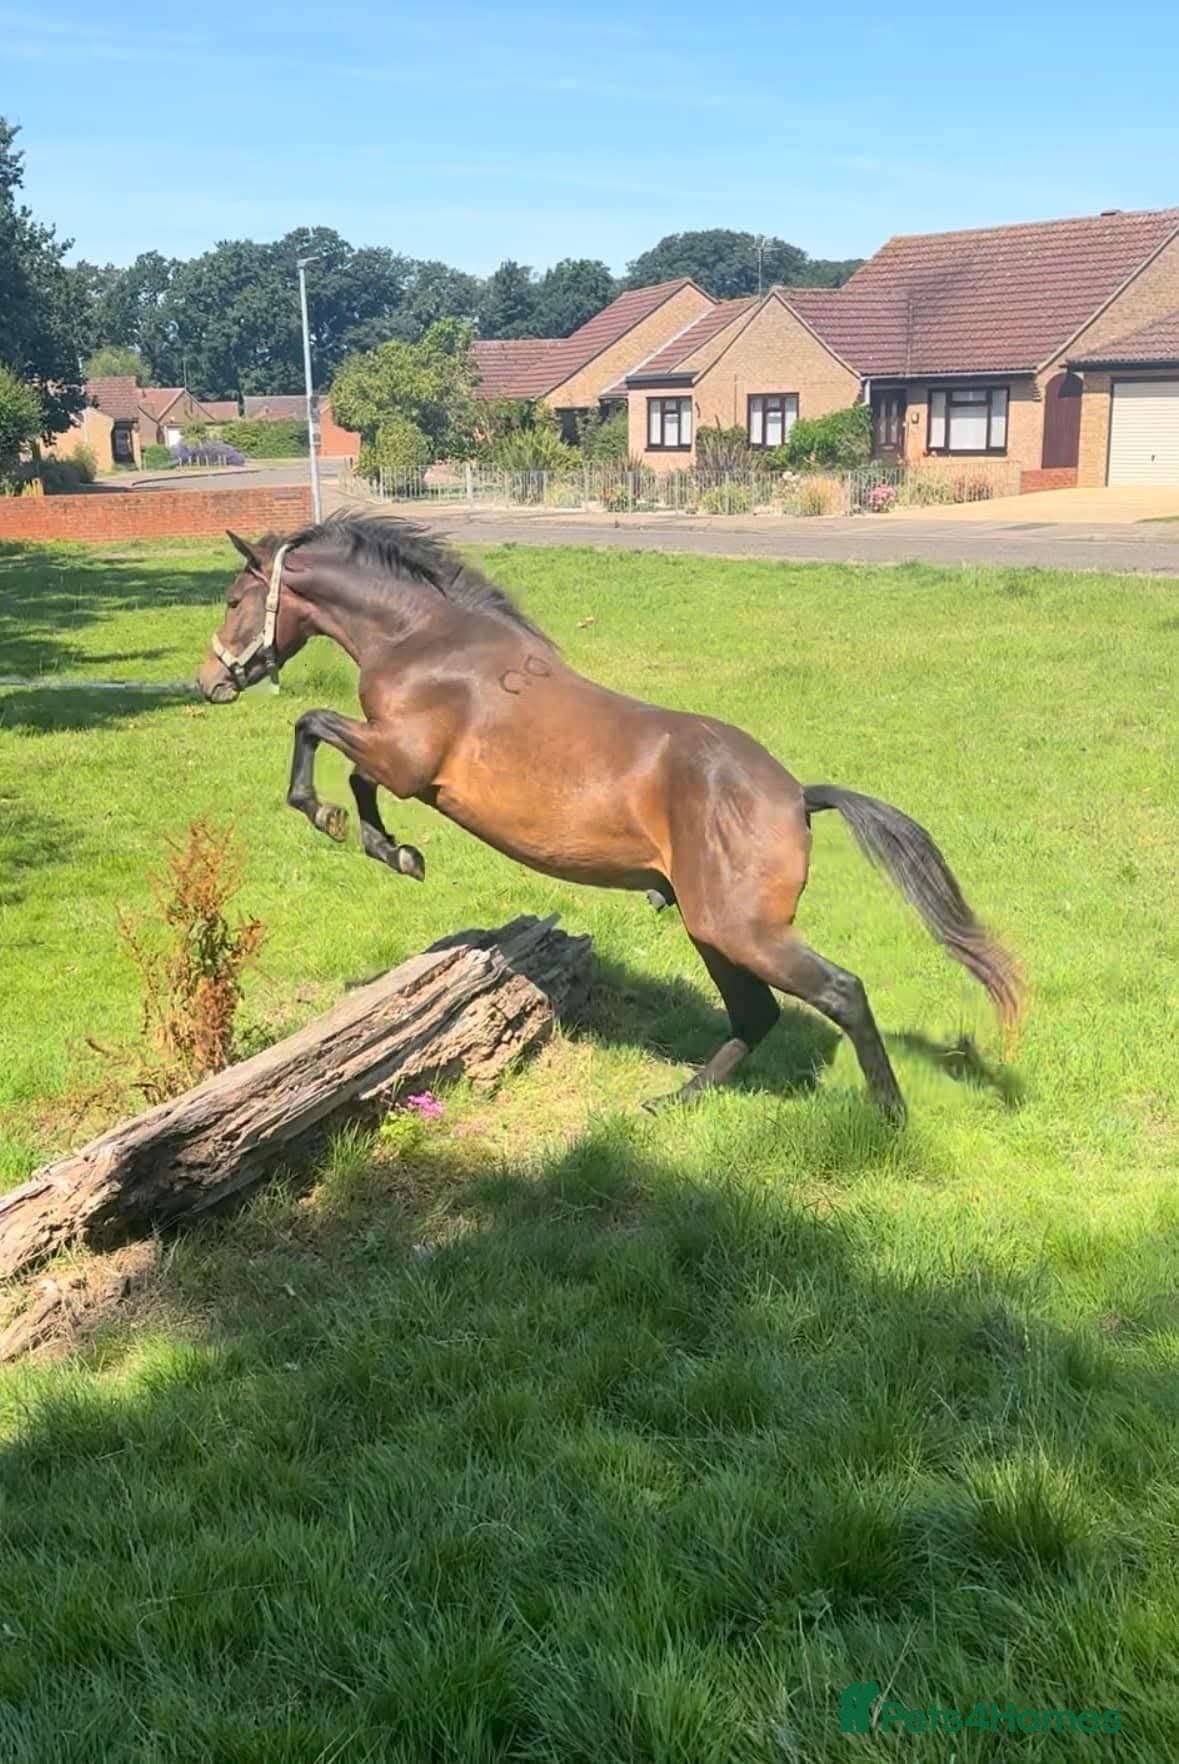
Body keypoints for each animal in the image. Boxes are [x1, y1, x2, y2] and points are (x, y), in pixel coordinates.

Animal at [197, 510, 1022, 1121]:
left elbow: (312, 727)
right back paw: (672, 1102)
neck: (424, 642)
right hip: (711, 929)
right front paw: (393, 849)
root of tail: (795, 796)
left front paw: (331, 819)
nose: (209, 683)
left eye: (233, 601)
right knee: (754, 1016)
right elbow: (350, 770)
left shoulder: (403, 759)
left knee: (839, 992)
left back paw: (887, 1117)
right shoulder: (394, 761)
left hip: (741, 930)